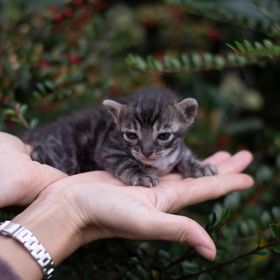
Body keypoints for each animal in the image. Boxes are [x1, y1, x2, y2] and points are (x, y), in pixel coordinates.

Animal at [23, 88, 218, 187]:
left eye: (163, 135)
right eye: (131, 135)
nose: (146, 152)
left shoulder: (177, 149)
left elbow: (185, 156)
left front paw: (199, 166)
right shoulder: (108, 149)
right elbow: (126, 162)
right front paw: (140, 175)